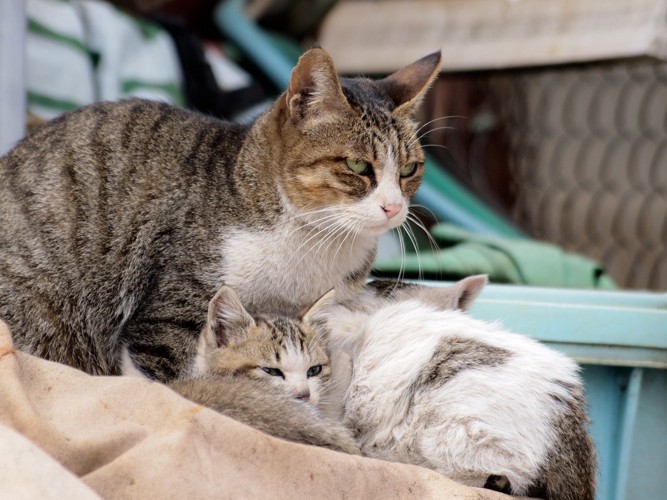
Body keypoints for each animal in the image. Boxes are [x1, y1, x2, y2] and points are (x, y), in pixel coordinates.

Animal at [0, 48, 444, 380]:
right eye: (357, 166)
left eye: (409, 170)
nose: (394, 207)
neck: (311, 241)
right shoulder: (168, 315)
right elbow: (171, 384)